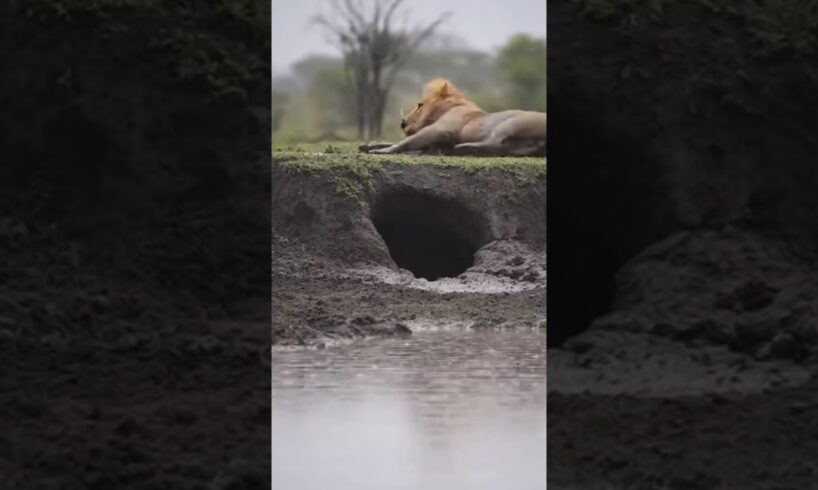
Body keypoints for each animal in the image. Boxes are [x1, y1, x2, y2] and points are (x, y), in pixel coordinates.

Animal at [366, 78, 546, 156]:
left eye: (419, 105)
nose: (402, 123)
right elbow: (398, 141)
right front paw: (372, 144)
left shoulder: (440, 130)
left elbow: (405, 141)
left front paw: (382, 150)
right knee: (502, 148)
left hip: (512, 122)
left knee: (495, 143)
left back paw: (462, 147)